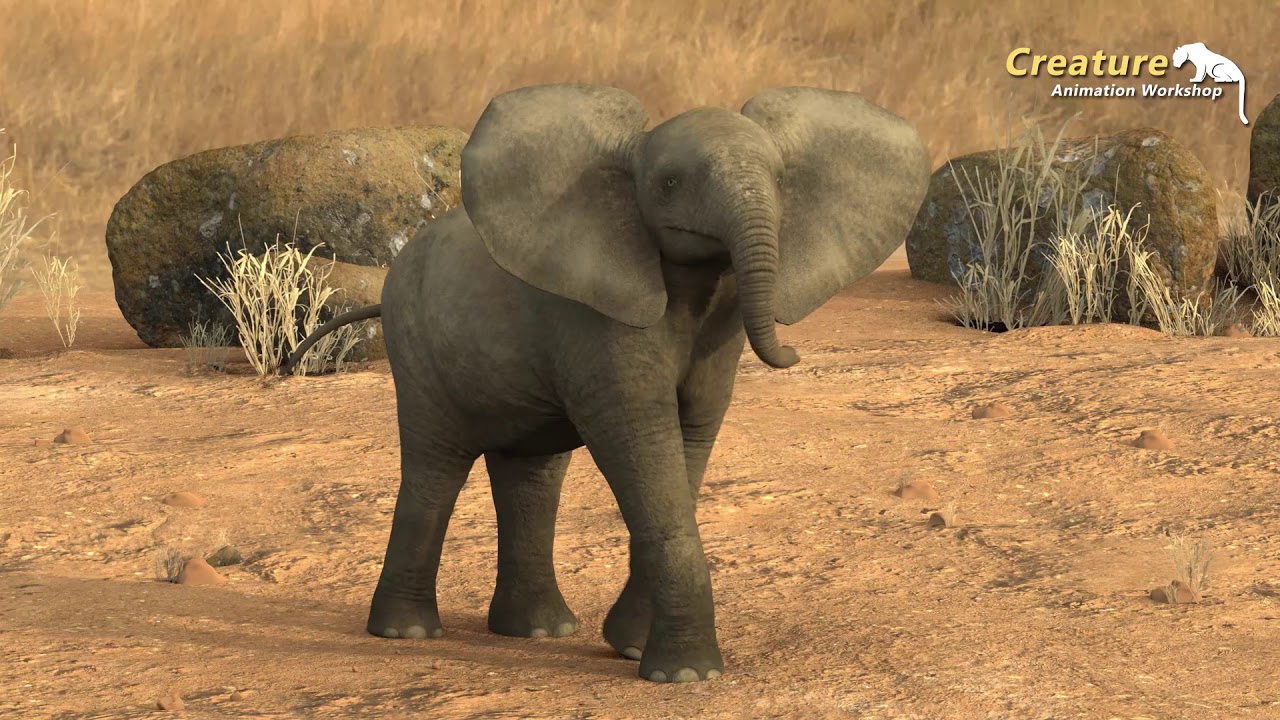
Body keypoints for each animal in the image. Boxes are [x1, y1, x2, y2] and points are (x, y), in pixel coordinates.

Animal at [282, 83, 931, 683]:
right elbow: (640, 439)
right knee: (435, 468)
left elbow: (691, 437)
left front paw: (635, 649)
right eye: (668, 183)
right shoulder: (596, 319)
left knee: (531, 476)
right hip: (415, 345)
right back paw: (407, 634)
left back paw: (539, 632)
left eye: (778, 177)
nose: (792, 352)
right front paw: (684, 675)